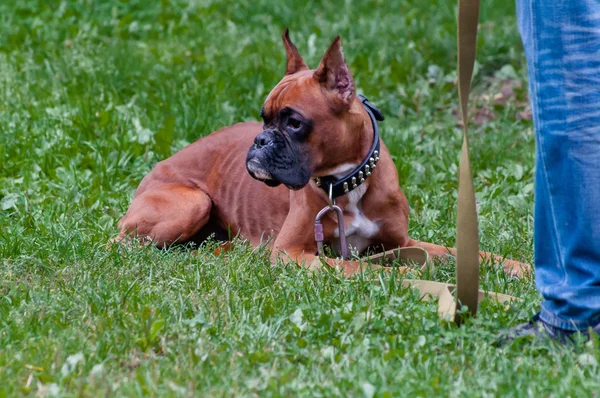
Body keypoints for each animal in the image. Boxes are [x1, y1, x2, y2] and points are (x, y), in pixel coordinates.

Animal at [115, 29, 528, 276]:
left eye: (294, 123)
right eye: (263, 118)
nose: (260, 142)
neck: (346, 181)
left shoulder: (404, 243)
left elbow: (464, 252)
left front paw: (518, 269)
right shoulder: (292, 253)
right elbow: (364, 268)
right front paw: (404, 276)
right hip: (191, 204)